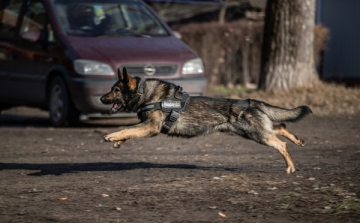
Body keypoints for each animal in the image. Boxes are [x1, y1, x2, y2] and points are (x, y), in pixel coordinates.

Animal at [100, 68, 312, 174]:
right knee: (281, 126)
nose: (101, 98)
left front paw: (112, 136)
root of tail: (247, 101)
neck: (145, 93)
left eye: (115, 90)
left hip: (257, 134)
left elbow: (128, 128)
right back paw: (298, 141)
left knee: (281, 144)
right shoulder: (146, 127)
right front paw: (118, 141)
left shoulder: (151, 127)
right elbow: (130, 129)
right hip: (252, 132)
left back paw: (290, 166)